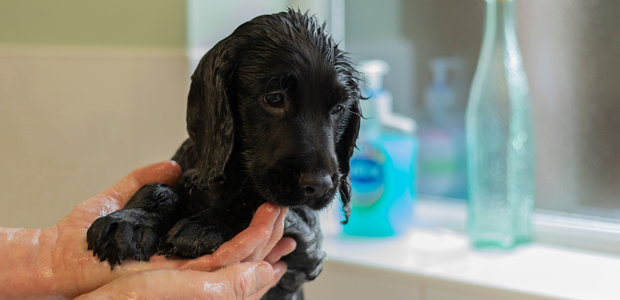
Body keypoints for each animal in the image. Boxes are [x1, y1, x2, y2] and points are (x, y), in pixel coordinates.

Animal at [85, 9, 360, 300]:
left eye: (339, 108)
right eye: (274, 98)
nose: (320, 186)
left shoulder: (307, 248)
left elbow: (258, 197)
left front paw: (207, 226)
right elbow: (160, 188)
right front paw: (131, 221)